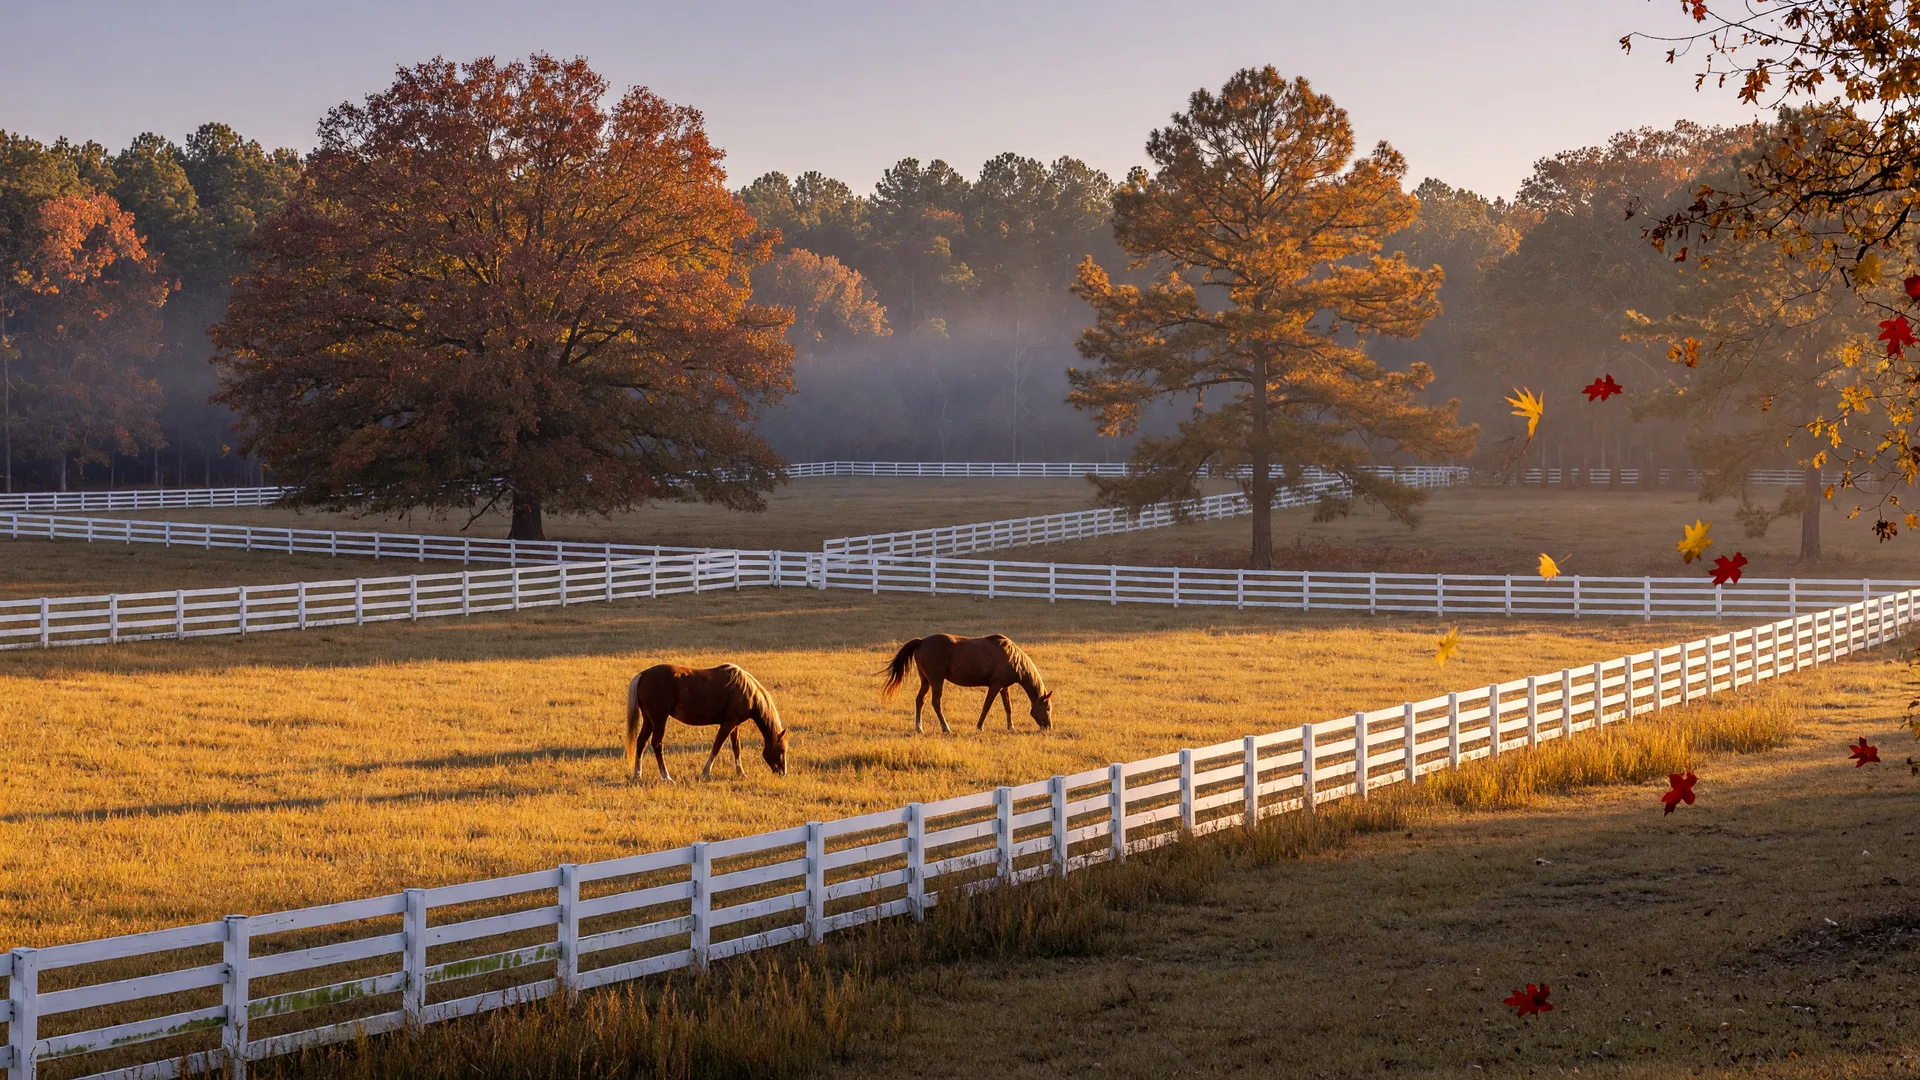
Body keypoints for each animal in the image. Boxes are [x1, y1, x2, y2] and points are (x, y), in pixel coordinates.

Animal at [625, 663, 789, 782]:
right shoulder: (728, 724)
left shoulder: (735, 725)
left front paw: (741, 773)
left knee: (641, 742)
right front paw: (706, 772)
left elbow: (736, 748)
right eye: (781, 750)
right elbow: (717, 746)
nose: (783, 772)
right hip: (659, 720)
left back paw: (638, 775)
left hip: (649, 720)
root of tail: (643, 675)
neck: (748, 691)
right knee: (657, 744)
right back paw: (666, 777)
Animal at [879, 633, 1052, 734]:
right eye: (1048, 708)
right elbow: (986, 706)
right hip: (936, 681)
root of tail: (921, 642)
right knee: (936, 702)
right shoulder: (995, 686)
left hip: (926, 681)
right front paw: (979, 726)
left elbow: (1008, 708)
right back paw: (946, 729)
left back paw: (919, 728)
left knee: (920, 700)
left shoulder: (1004, 687)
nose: (1048, 726)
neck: (1012, 658)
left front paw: (1011, 727)